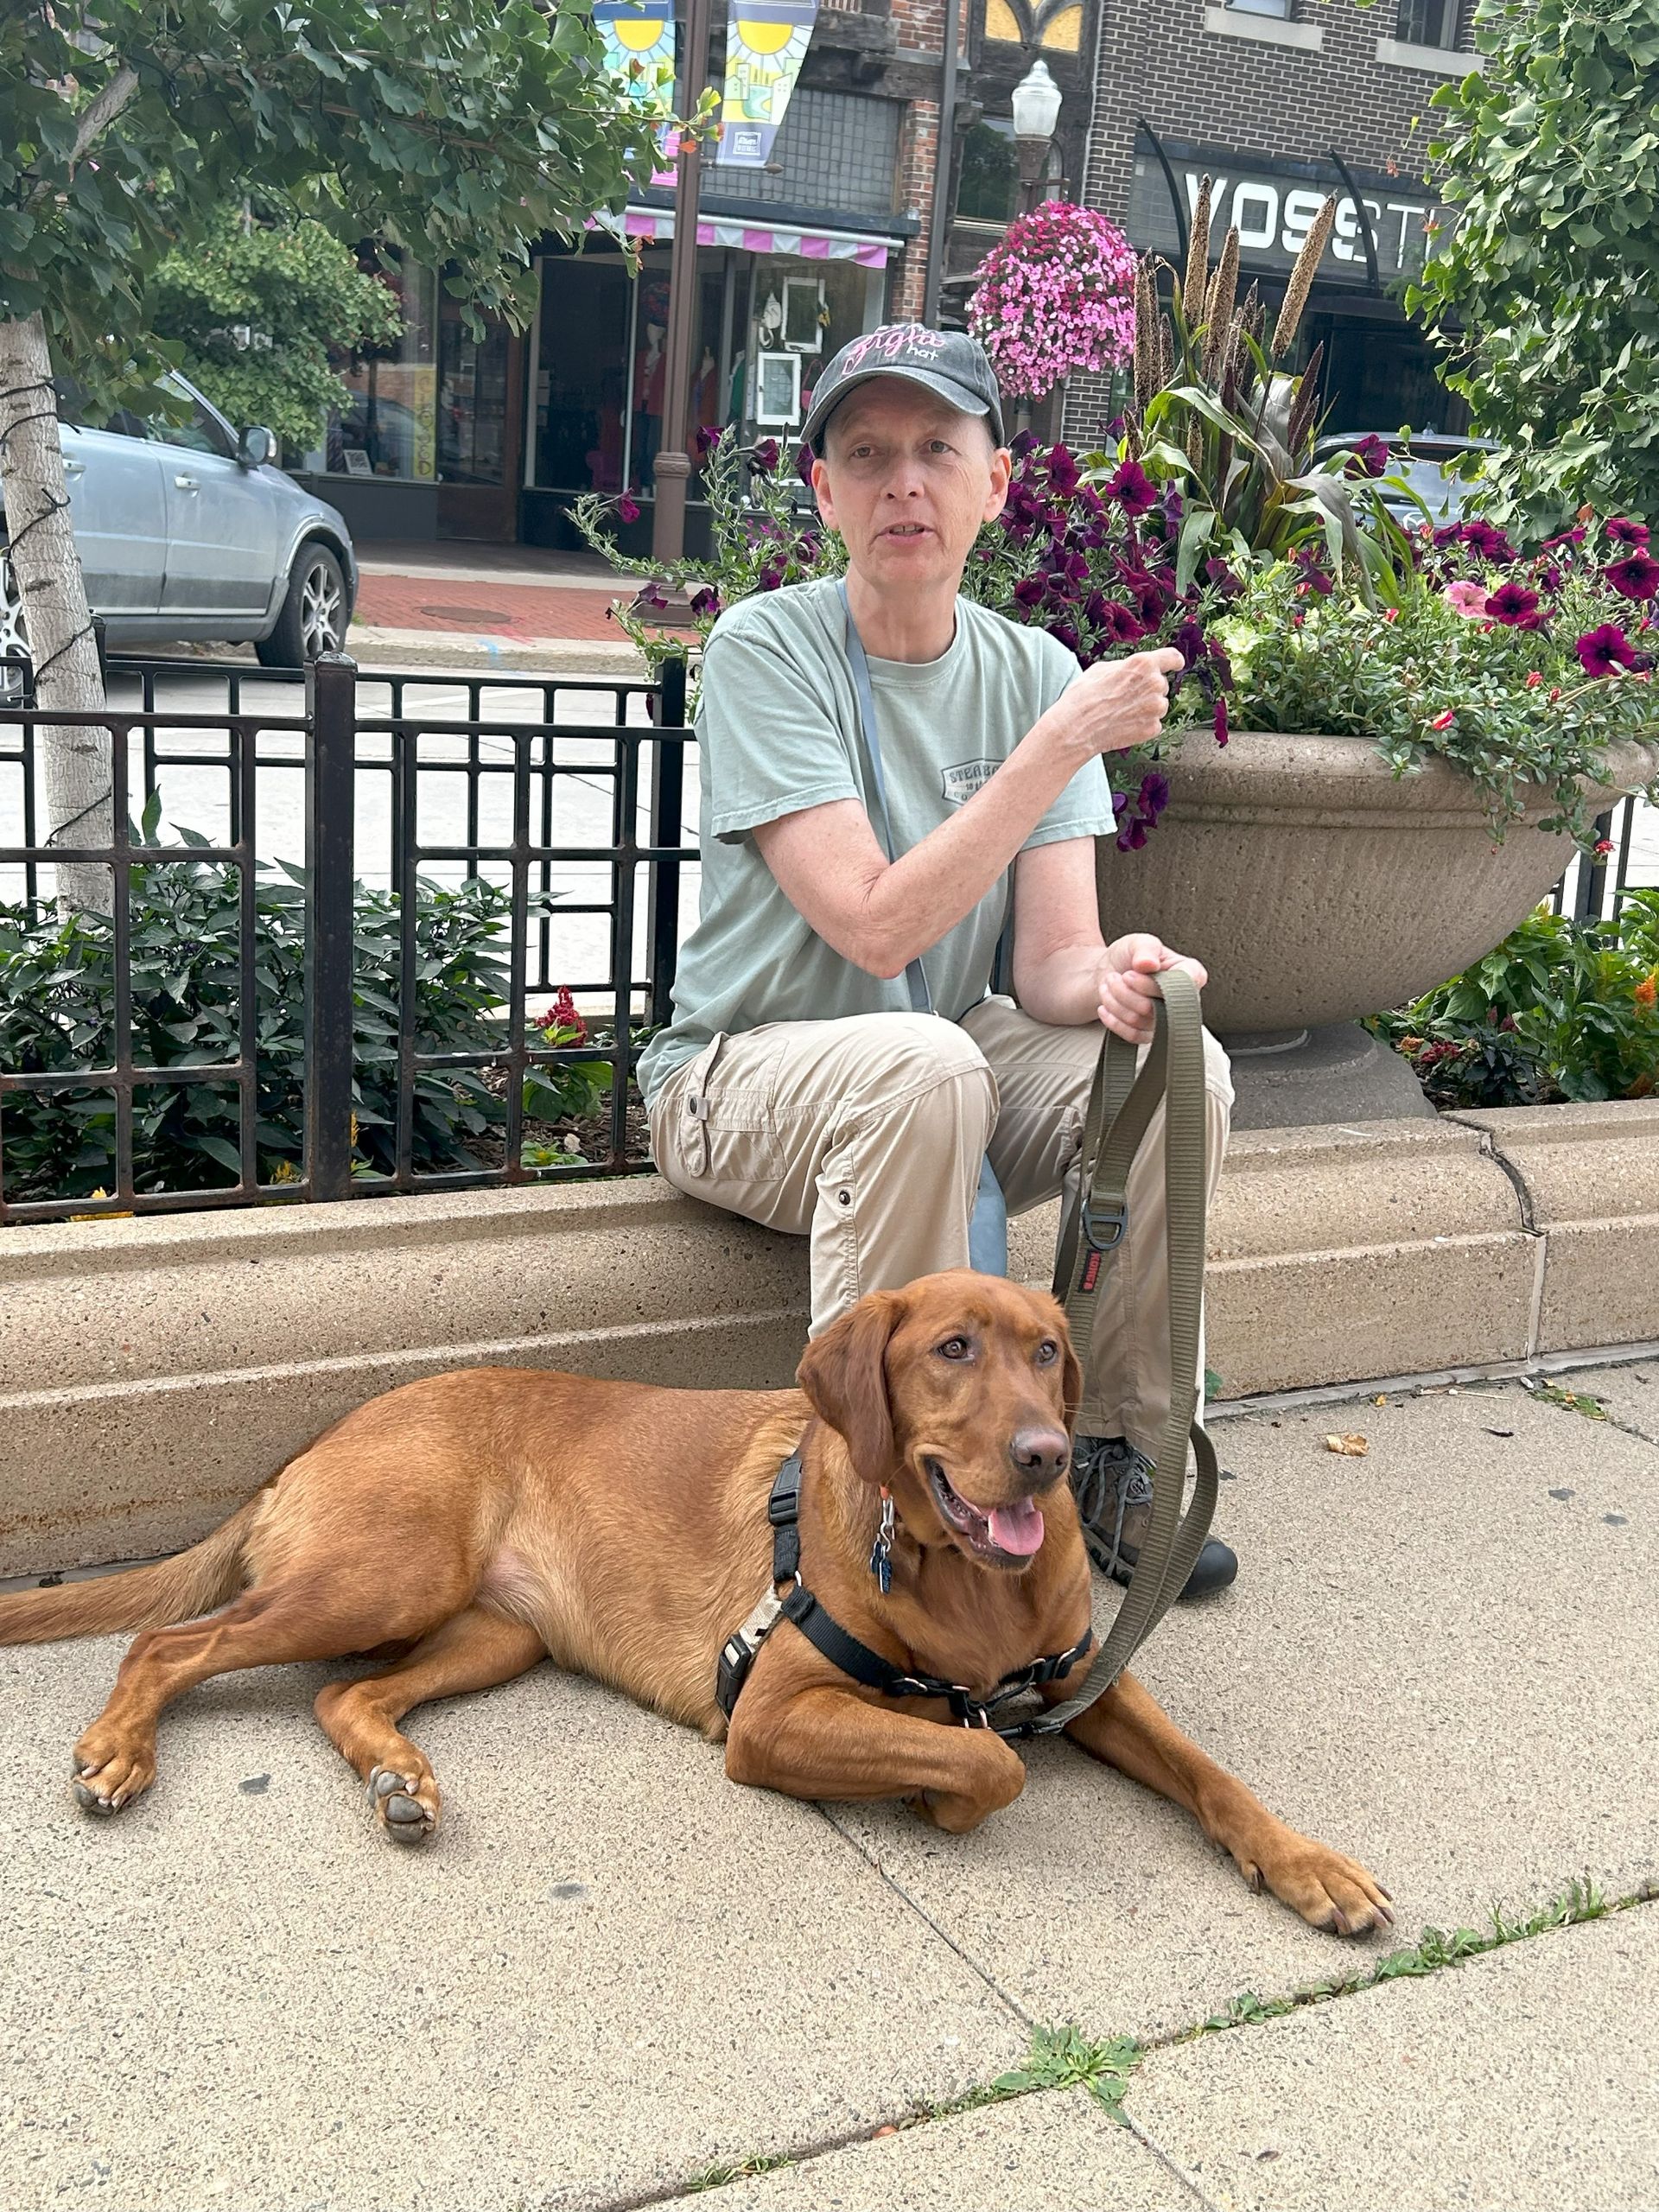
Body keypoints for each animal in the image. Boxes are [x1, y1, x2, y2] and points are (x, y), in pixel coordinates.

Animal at [0, 1270, 1390, 1935]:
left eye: (1047, 1351)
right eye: (953, 1349)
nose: (1049, 1457)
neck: (959, 1577)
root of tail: (316, 1440)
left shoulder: (1082, 1684)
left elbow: (1212, 1774)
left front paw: (1310, 1864)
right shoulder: (771, 1714)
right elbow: (985, 1762)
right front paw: (937, 1789)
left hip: (492, 1632)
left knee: (343, 1695)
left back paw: (402, 1779)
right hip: (382, 1572)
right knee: (170, 1636)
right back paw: (119, 1751)